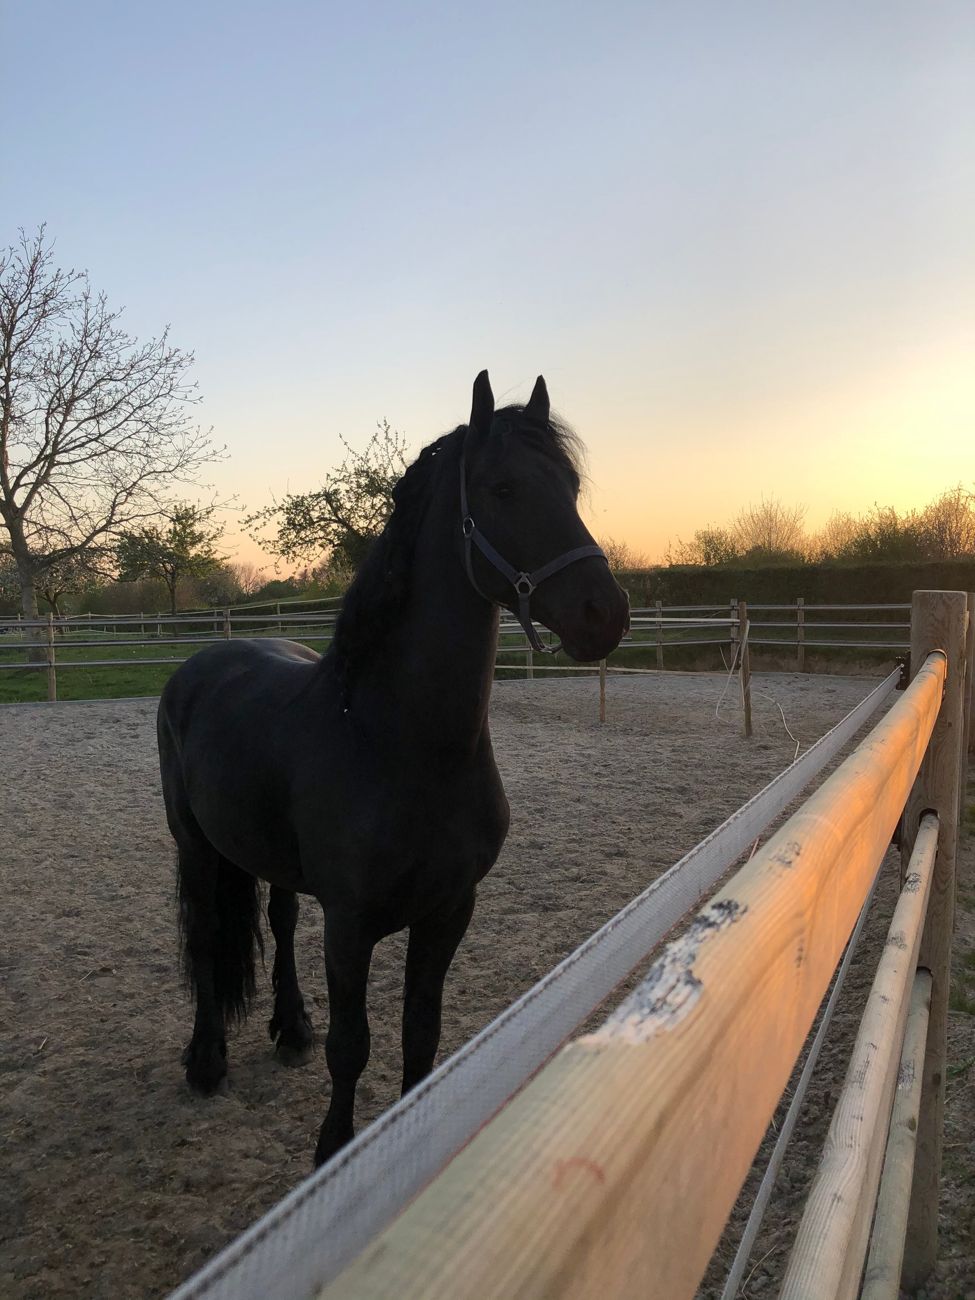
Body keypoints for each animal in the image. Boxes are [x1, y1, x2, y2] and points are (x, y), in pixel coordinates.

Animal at [157, 370, 630, 1165]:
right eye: (502, 489)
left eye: (569, 486)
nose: (606, 614)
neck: (401, 743)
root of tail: (204, 661)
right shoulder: (351, 925)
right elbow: (353, 1046)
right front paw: (332, 1151)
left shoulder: (448, 911)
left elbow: (421, 1037)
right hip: (195, 847)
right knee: (207, 936)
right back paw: (207, 1061)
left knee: (280, 918)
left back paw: (291, 1027)